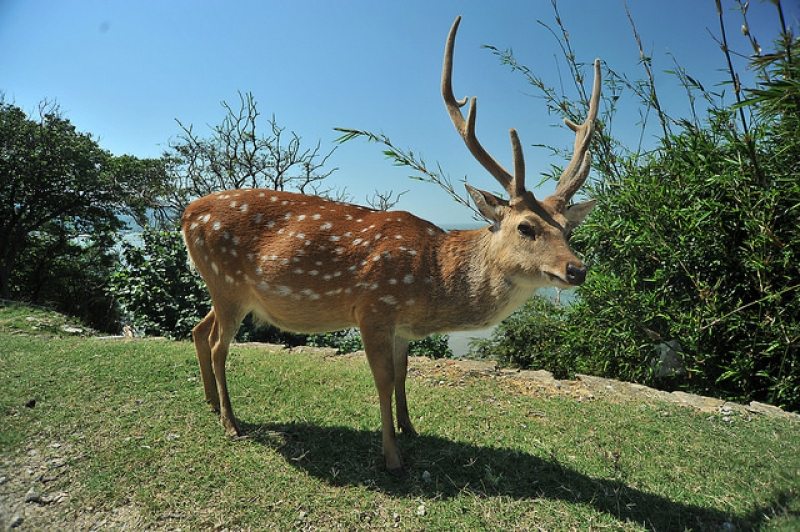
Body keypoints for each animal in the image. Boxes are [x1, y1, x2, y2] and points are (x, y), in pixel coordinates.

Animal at [181, 14, 600, 476]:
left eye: (568, 230)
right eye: (526, 227)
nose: (577, 269)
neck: (430, 280)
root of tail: (186, 213)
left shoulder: (401, 326)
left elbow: (402, 374)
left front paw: (410, 428)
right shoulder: (373, 308)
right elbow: (382, 379)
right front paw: (392, 456)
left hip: (226, 288)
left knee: (198, 329)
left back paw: (210, 403)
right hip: (227, 282)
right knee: (219, 344)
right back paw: (231, 423)